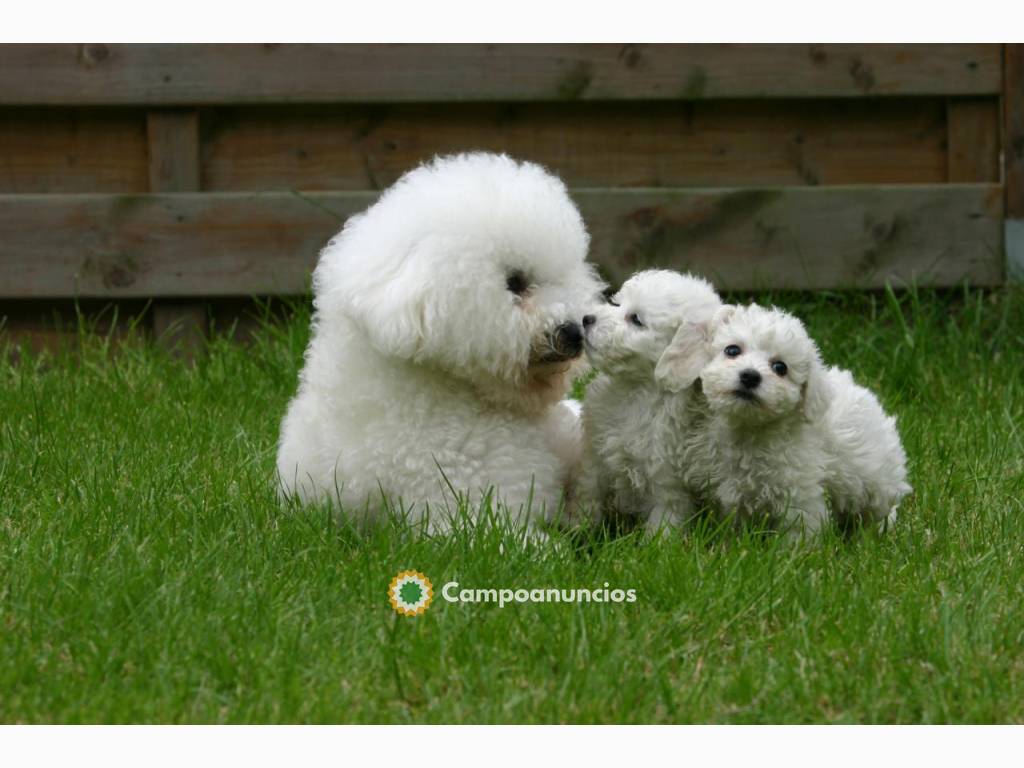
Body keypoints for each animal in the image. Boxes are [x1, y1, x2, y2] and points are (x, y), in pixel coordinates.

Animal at [577, 270, 720, 536]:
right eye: (617, 304)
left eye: (636, 319)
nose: (586, 319)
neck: (636, 392)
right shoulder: (594, 458)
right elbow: (587, 494)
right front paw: (578, 531)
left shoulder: (668, 486)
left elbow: (662, 528)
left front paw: (656, 544)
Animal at [655, 303, 913, 536]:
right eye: (732, 350)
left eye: (780, 367)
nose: (750, 376)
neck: (744, 429)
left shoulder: (800, 495)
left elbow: (797, 533)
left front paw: (791, 555)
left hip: (876, 483)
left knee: (877, 511)